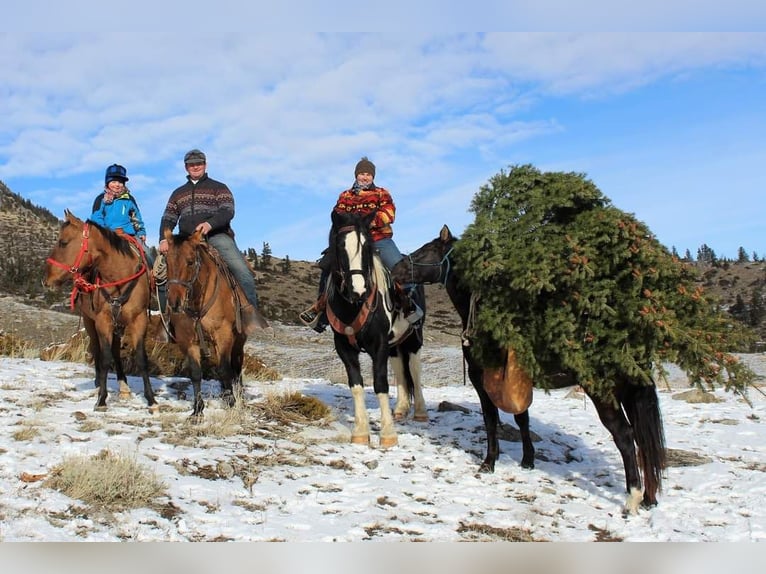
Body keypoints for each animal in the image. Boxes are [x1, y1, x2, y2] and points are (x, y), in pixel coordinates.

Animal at [42, 212, 160, 414]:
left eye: (63, 242)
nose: (46, 280)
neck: (119, 275)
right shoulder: (102, 321)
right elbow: (104, 359)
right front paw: (102, 400)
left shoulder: (139, 320)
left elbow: (141, 359)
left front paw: (151, 400)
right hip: (90, 321)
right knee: (98, 349)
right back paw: (99, 383)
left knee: (115, 351)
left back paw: (123, 385)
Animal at [164, 227, 268, 420]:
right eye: (166, 261)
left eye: (190, 262)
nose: (174, 303)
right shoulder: (187, 339)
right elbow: (196, 373)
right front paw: (197, 410)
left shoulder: (223, 334)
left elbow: (224, 370)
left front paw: (232, 403)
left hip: (238, 340)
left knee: (236, 368)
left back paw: (238, 397)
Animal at [328, 212, 428, 450]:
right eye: (340, 245)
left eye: (367, 247)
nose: (359, 290)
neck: (353, 306)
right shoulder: (344, 347)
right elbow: (356, 385)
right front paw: (360, 432)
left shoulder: (379, 344)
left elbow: (381, 384)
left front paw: (388, 434)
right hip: (394, 344)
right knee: (400, 369)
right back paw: (400, 409)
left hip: (413, 339)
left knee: (414, 369)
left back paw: (420, 412)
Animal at [392, 227, 668, 516]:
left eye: (425, 250)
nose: (396, 270)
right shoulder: (515, 383)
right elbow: (521, 418)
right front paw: (528, 460)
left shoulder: (483, 383)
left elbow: (491, 420)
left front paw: (488, 463)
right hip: (628, 391)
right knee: (644, 440)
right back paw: (649, 498)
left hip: (604, 393)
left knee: (625, 436)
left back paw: (632, 498)